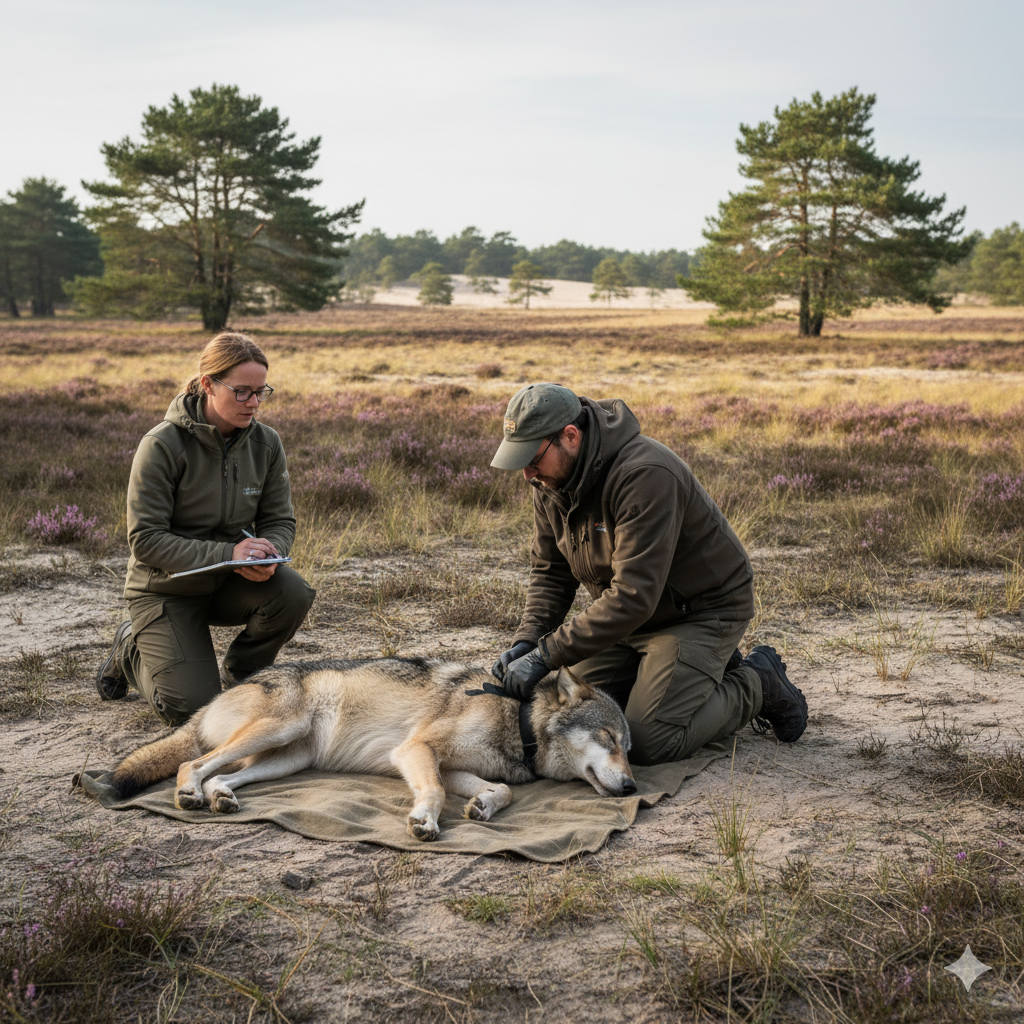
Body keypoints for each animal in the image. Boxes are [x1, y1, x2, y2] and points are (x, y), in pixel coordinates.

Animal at [105, 657, 636, 841]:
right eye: (609, 740)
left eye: (629, 748)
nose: (632, 785)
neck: (519, 720)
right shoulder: (415, 750)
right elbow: (434, 794)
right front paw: (425, 820)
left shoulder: (449, 766)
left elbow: (500, 791)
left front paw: (483, 805)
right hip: (277, 731)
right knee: (191, 762)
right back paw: (190, 794)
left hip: (288, 759)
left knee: (220, 774)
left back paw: (220, 797)